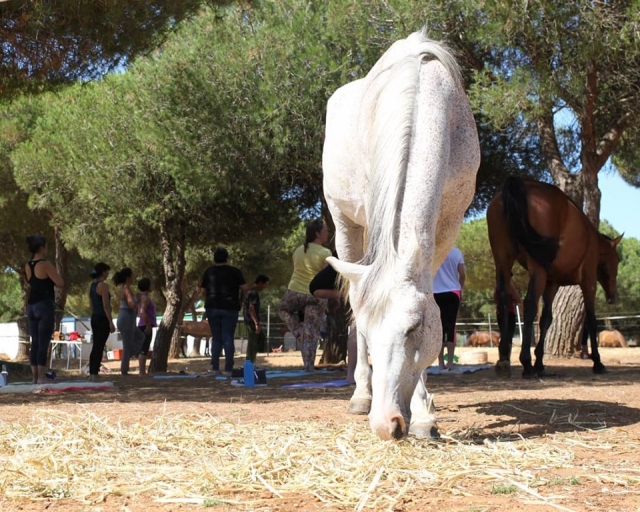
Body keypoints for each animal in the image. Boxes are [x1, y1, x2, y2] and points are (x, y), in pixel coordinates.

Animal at [323, 29, 480, 440]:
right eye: (370, 329)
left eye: (414, 328)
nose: (385, 424)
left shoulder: (448, 221)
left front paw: (424, 414)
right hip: (346, 226)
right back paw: (360, 396)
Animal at [487, 176, 622, 378]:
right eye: (618, 260)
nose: (613, 297)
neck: (591, 241)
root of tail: (518, 184)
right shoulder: (588, 282)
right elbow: (591, 320)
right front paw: (598, 362)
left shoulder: (552, 284)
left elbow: (546, 319)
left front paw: (540, 362)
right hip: (537, 269)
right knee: (529, 304)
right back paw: (526, 364)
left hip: (503, 260)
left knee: (504, 298)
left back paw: (504, 358)